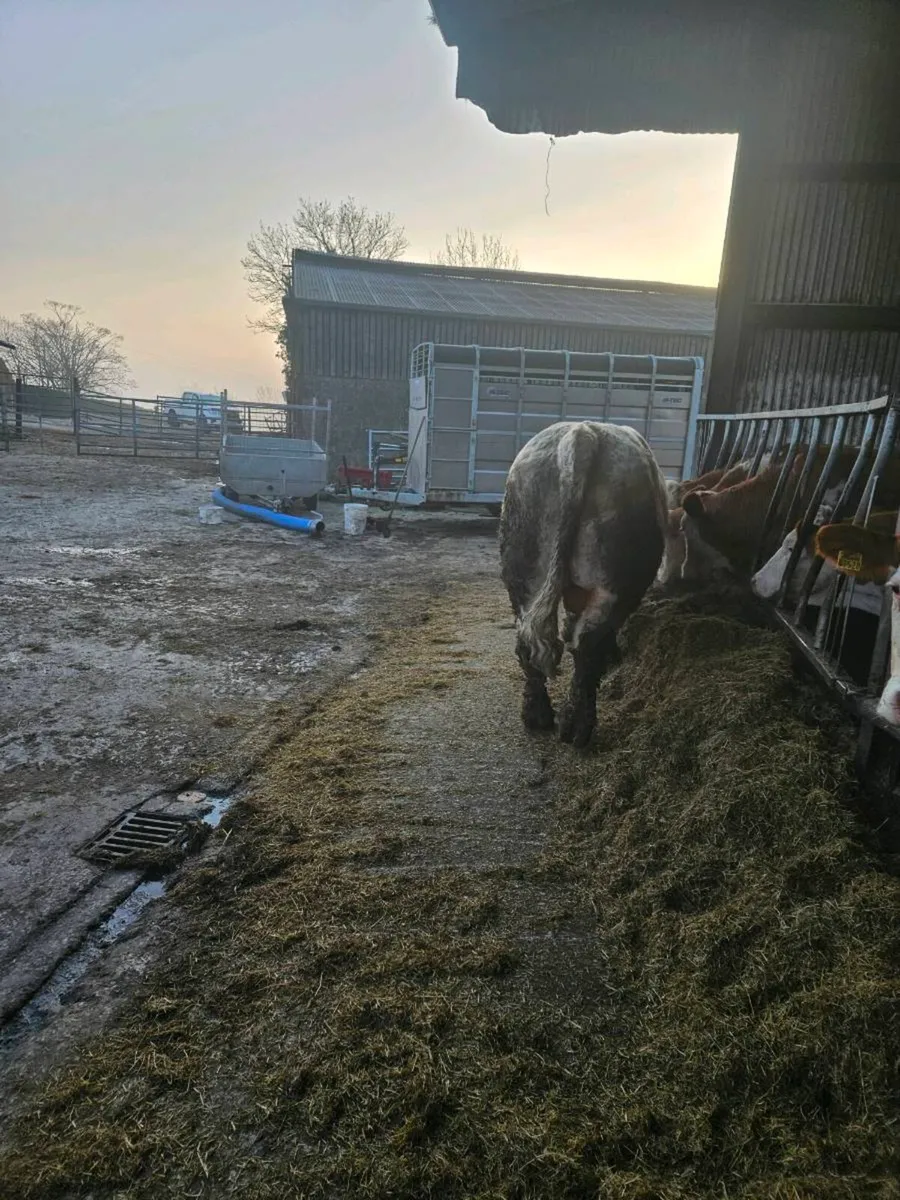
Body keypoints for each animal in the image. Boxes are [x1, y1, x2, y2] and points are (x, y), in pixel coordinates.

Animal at [500, 420, 668, 748]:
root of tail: (583, 433)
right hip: (613, 585)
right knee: (588, 645)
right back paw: (577, 727)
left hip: (523, 574)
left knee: (528, 640)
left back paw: (537, 715)